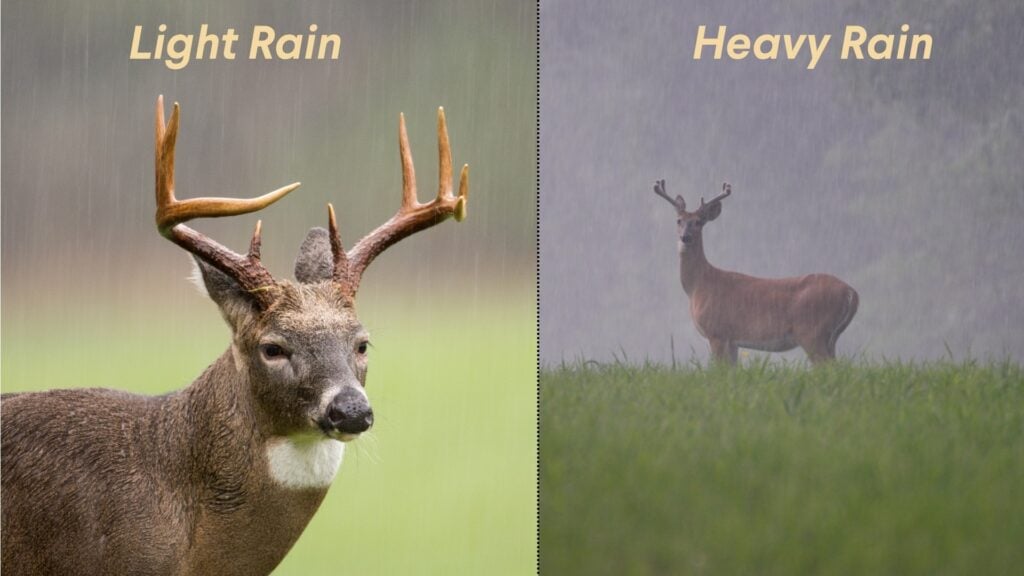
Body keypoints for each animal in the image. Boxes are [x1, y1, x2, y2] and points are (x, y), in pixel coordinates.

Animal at [653, 180, 858, 365]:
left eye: (698, 222)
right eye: (679, 221)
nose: (685, 237)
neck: (698, 286)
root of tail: (851, 292)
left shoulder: (716, 332)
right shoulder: (732, 340)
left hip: (812, 331)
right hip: (831, 336)